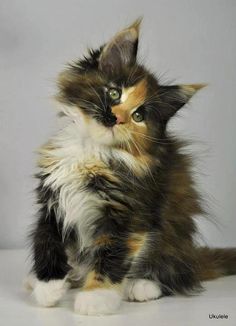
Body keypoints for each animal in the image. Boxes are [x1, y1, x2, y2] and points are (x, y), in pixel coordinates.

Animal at [28, 19, 236, 314]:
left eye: (138, 115)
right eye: (114, 93)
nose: (116, 118)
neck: (92, 151)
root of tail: (191, 256)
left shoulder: (128, 214)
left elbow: (112, 253)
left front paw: (97, 296)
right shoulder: (52, 200)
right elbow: (46, 240)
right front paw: (47, 285)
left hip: (173, 237)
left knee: (176, 274)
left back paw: (142, 285)